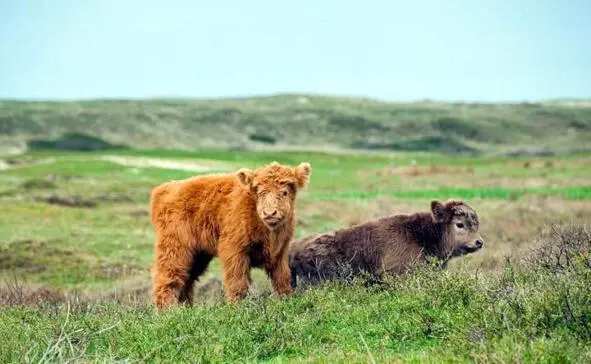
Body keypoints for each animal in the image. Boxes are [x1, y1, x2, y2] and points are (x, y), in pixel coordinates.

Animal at [150, 161, 312, 308]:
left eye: (284, 192)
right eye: (260, 192)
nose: (270, 213)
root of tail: (166, 188)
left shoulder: (280, 252)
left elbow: (282, 278)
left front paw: (285, 300)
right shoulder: (234, 250)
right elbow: (237, 281)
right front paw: (237, 306)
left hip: (197, 255)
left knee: (187, 279)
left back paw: (186, 308)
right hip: (175, 248)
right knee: (168, 276)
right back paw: (167, 311)